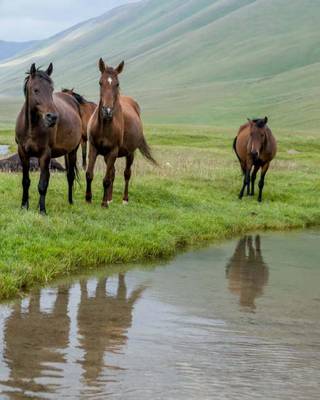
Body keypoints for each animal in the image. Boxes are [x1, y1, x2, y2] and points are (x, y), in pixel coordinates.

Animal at [15, 62, 82, 214]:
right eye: (36, 90)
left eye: (51, 90)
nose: (53, 117)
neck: (31, 127)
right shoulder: (23, 153)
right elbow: (25, 182)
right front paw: (24, 206)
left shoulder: (45, 154)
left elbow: (42, 184)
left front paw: (42, 210)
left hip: (72, 151)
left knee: (70, 176)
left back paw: (70, 201)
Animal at [85, 59, 157, 209]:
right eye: (100, 82)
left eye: (117, 84)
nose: (107, 111)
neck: (105, 125)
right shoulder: (93, 148)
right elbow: (89, 174)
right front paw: (88, 198)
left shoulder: (113, 151)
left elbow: (106, 179)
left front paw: (103, 203)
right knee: (112, 173)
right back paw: (110, 198)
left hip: (130, 153)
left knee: (126, 174)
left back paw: (124, 199)